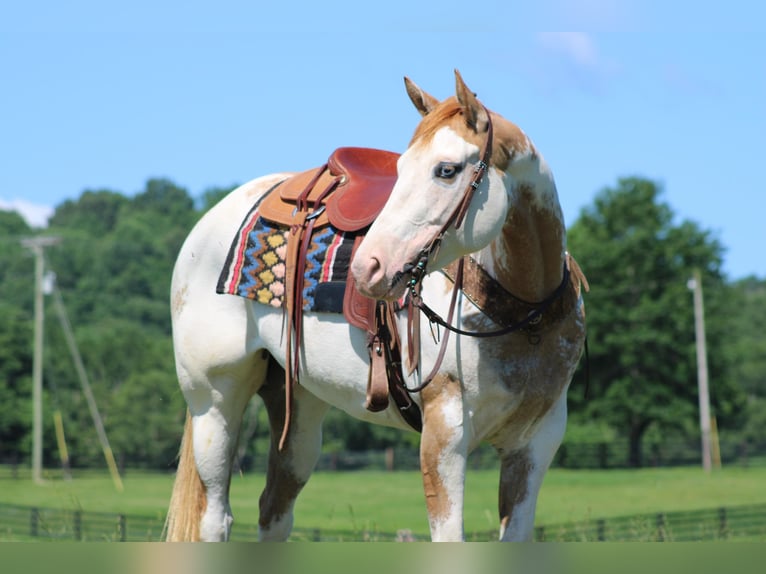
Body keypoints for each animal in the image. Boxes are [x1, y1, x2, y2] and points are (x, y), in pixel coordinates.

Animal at [166, 72, 588, 544]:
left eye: (446, 169)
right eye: (400, 170)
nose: (368, 267)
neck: (525, 317)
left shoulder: (535, 444)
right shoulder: (444, 436)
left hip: (299, 409)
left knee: (274, 511)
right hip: (214, 403)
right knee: (215, 518)